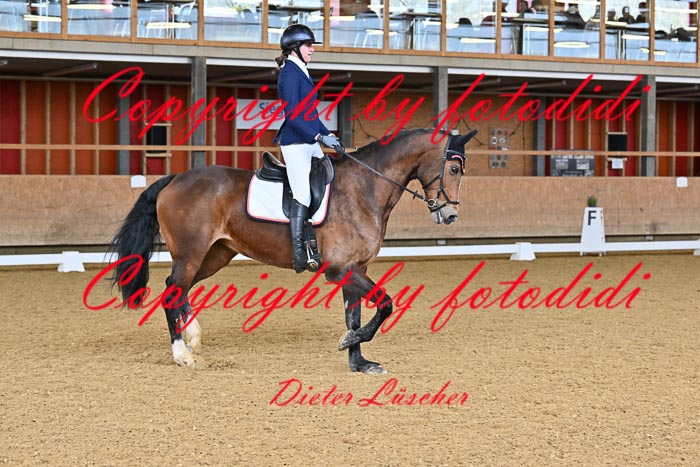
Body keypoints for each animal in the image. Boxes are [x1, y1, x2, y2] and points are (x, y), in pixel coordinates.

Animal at [109, 128, 477, 374]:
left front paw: (358, 360)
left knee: (179, 289)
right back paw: (181, 354)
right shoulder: (341, 269)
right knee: (173, 289)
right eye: (453, 168)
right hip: (191, 254)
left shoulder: (356, 268)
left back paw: (193, 338)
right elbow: (386, 304)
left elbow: (355, 314)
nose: (450, 215)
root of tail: (175, 179)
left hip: (215, 255)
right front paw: (349, 342)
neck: (364, 189)